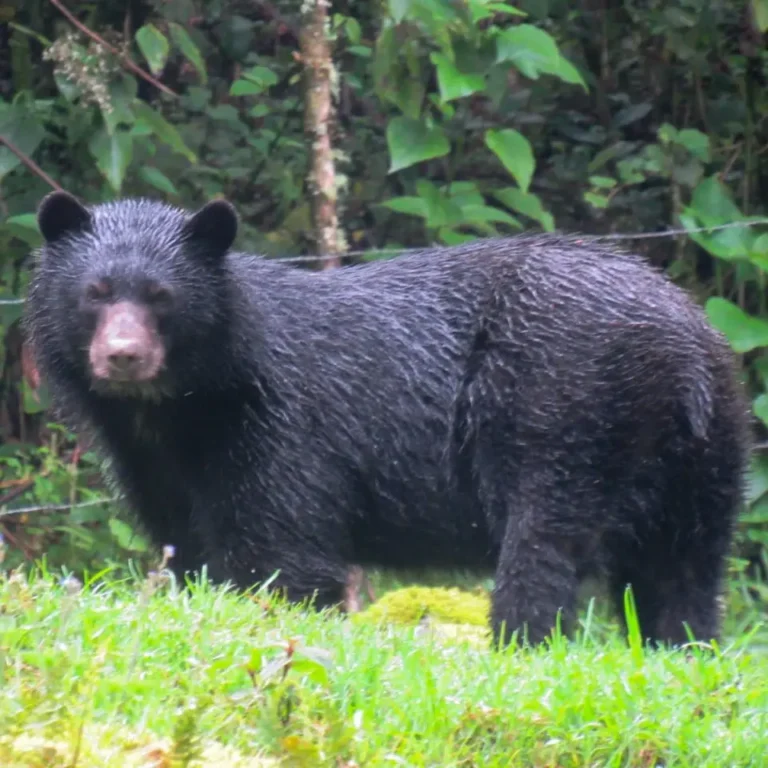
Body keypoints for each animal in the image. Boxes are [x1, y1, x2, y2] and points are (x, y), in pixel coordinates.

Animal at [25, 190, 751, 648]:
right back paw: (682, 648)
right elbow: (189, 547)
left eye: (160, 296)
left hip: (563, 404)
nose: (123, 356)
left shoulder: (279, 426)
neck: (183, 406)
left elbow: (283, 555)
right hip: (707, 455)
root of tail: (685, 347)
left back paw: (515, 645)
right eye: (94, 293)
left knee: (544, 540)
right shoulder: (157, 465)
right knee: (682, 571)